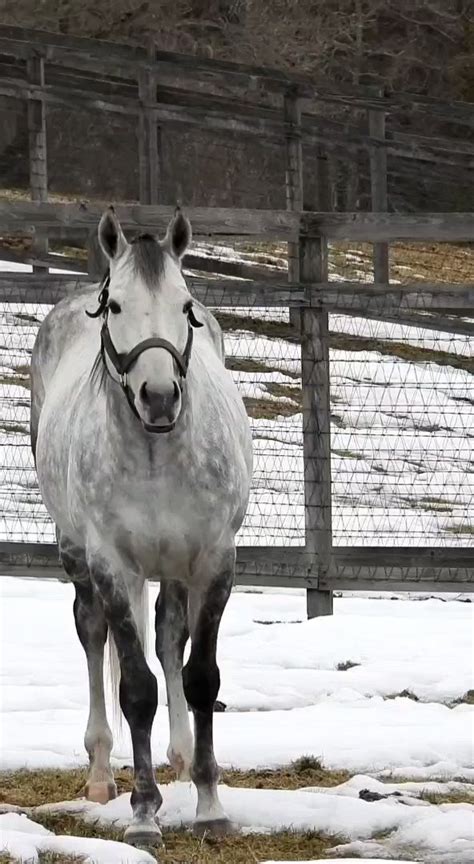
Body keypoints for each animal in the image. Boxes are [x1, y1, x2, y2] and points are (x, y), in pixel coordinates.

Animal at [29, 208, 252, 844]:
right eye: (117, 307)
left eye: (186, 306)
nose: (158, 396)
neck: (156, 454)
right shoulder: (112, 564)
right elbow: (135, 688)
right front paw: (144, 815)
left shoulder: (213, 560)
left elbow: (201, 678)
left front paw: (210, 807)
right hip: (78, 557)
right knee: (93, 633)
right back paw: (104, 773)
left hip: (173, 566)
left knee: (169, 635)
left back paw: (179, 757)